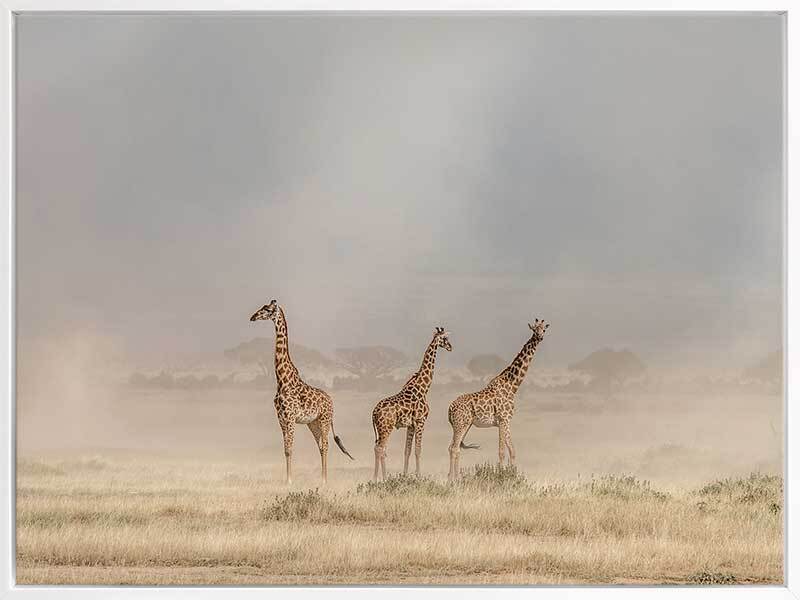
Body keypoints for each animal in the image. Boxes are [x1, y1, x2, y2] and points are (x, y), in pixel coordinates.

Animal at [250, 299, 354, 484]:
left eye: (267, 309)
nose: (253, 317)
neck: (282, 380)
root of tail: (331, 401)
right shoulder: (281, 418)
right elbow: (286, 449)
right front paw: (287, 480)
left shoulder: (290, 417)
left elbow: (290, 448)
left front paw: (289, 481)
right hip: (313, 423)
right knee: (320, 446)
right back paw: (321, 478)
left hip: (325, 419)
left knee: (326, 445)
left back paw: (324, 480)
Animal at [372, 327, 452, 481]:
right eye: (445, 338)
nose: (451, 347)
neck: (423, 387)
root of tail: (373, 413)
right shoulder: (421, 421)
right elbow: (418, 450)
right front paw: (418, 475)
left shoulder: (411, 425)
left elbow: (407, 450)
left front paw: (405, 475)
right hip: (386, 427)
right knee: (380, 448)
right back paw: (381, 478)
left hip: (380, 429)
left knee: (378, 448)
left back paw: (378, 477)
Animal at [447, 318, 550, 480]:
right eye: (534, 329)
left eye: (543, 329)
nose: (540, 337)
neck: (512, 386)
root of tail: (450, 408)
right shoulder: (503, 419)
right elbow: (502, 452)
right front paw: (502, 475)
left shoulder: (505, 421)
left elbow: (512, 451)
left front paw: (512, 475)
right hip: (460, 424)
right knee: (454, 448)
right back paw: (454, 479)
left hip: (464, 425)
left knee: (453, 448)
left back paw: (453, 477)